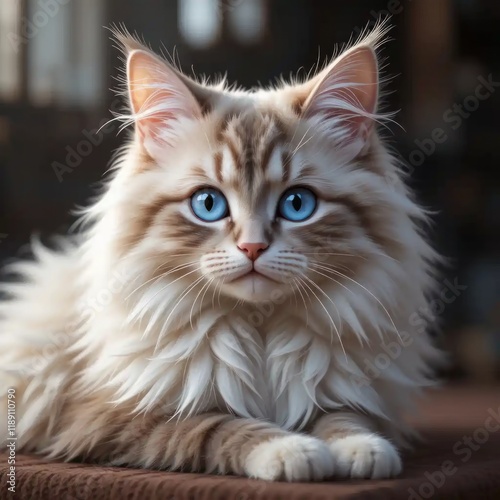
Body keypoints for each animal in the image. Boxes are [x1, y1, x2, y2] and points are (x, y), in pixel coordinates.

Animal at [1, 21, 444, 482]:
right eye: (208, 204)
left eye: (297, 204)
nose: (252, 246)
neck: (260, 333)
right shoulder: (113, 415)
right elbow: (222, 427)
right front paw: (294, 452)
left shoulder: (347, 390)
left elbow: (344, 418)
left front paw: (363, 452)